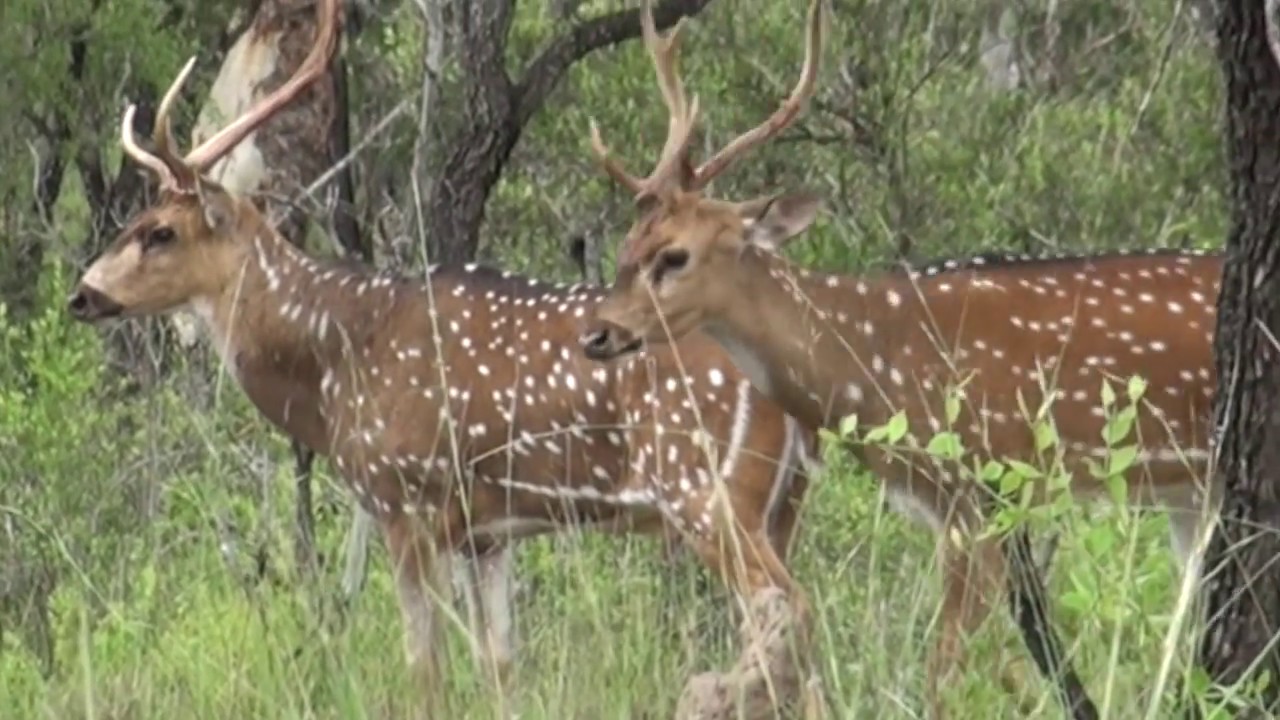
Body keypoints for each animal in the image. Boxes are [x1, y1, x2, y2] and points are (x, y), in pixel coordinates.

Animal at [64, 0, 825, 716]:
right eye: (134, 220)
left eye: (160, 231)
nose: (82, 294)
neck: (336, 362)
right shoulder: (484, 533)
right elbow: (500, 667)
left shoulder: (404, 499)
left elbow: (423, 670)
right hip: (779, 504)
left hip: (708, 490)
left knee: (790, 610)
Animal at [576, 0, 1218, 717]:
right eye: (628, 245)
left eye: (675, 255)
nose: (597, 334)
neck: (881, 362)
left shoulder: (981, 487)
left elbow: (947, 671)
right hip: (1188, 487)